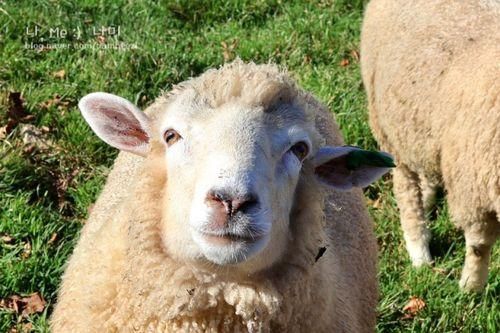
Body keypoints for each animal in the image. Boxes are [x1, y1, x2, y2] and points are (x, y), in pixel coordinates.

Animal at [362, 0, 498, 290]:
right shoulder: (475, 188)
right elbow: (479, 246)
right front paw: (470, 288)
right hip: (392, 128)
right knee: (407, 191)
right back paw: (420, 253)